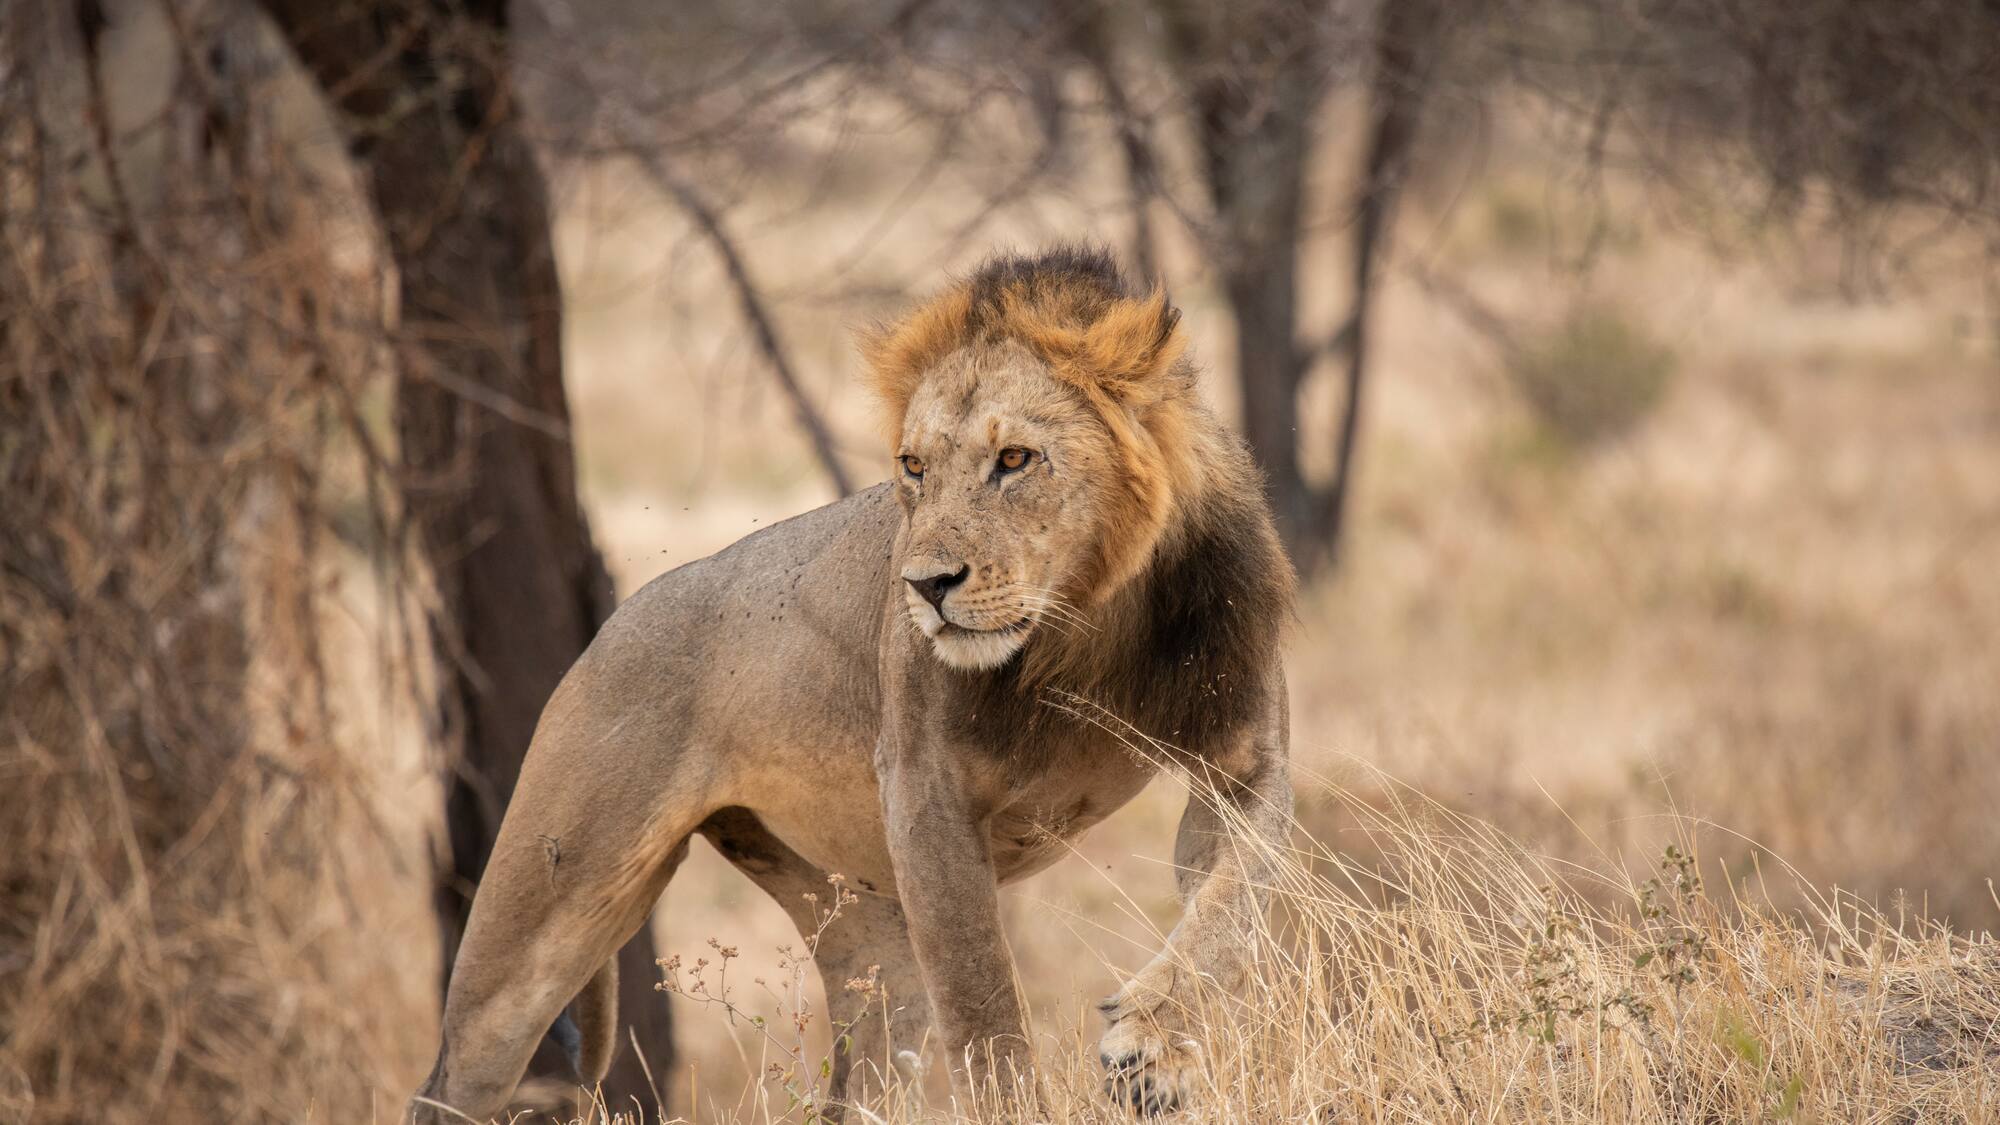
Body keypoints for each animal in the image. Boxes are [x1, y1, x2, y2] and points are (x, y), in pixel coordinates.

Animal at [410, 245, 1295, 1122]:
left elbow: (1234, 909)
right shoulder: (925, 793)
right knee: (451, 1075)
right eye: (915, 467)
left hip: (866, 928)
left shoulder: (1245, 766)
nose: (926, 586)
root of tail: (603, 633)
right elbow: (984, 1006)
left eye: (1014, 459)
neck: (1085, 624)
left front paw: (1153, 1052)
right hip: (538, 926)